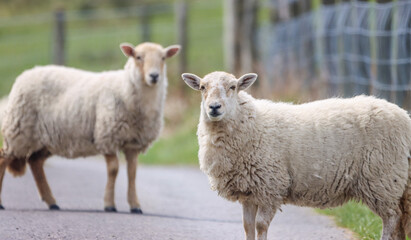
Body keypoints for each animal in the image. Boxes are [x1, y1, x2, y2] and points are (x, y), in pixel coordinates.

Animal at [0, 41, 180, 214]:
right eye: (138, 57)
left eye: (163, 58)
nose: (154, 76)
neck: (124, 88)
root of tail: (26, 73)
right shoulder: (106, 136)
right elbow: (113, 170)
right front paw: (109, 205)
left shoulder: (133, 143)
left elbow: (132, 173)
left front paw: (135, 206)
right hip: (19, 130)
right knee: (4, 159)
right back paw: (3, 203)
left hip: (48, 139)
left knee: (35, 161)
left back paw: (52, 202)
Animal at [183, 71, 411, 240]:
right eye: (202, 87)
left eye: (233, 87)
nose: (214, 107)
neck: (252, 124)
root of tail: (404, 116)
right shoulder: (249, 190)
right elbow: (247, 226)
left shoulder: (270, 186)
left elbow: (260, 225)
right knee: (400, 220)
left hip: (383, 178)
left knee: (392, 218)